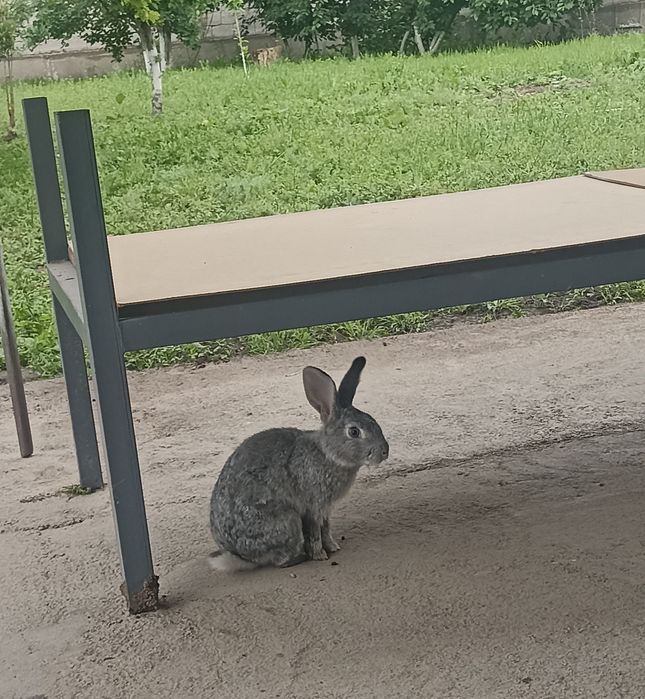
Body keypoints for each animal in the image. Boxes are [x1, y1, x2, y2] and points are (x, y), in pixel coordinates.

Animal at [209, 356, 389, 571]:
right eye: (354, 432)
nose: (384, 452)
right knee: (279, 559)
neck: (327, 454)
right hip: (287, 520)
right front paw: (320, 555)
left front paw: (333, 547)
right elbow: (315, 532)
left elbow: (326, 528)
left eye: (373, 421)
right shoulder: (313, 506)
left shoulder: (325, 509)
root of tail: (241, 557)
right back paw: (299, 557)